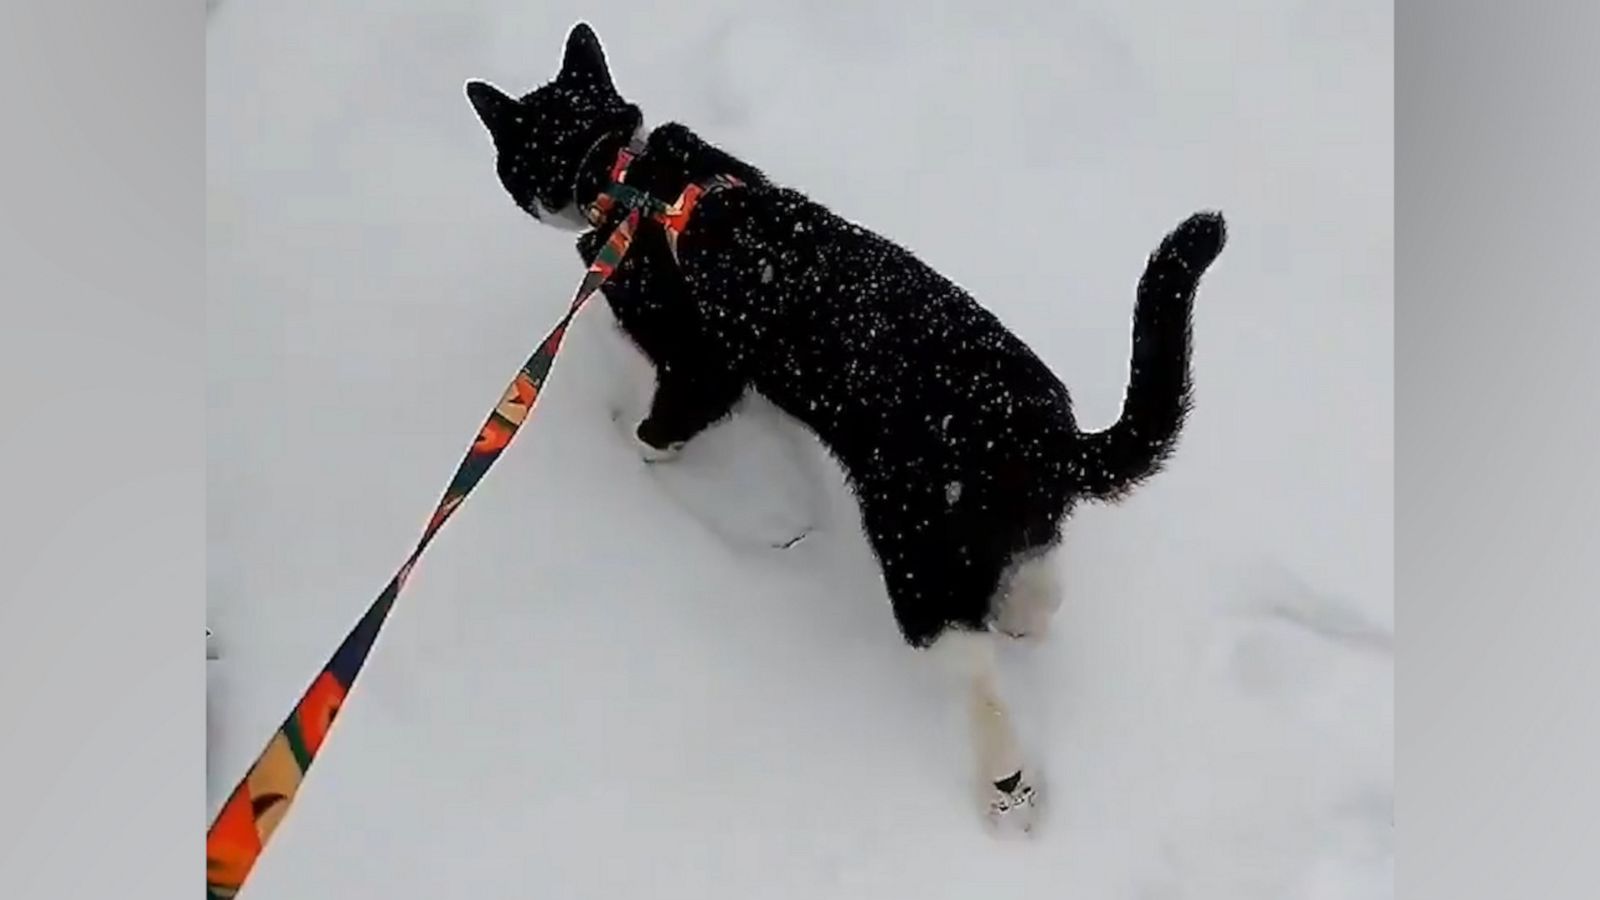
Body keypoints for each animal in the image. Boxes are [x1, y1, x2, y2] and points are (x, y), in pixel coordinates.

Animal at [464, 21, 1222, 832]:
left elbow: (655, 432)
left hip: (915, 554)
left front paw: (619, 443)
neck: (622, 171)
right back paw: (1020, 617)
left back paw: (1004, 784)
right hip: (1006, 531)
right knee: (1041, 593)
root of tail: (1048, 436)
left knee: (974, 670)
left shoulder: (699, 366)